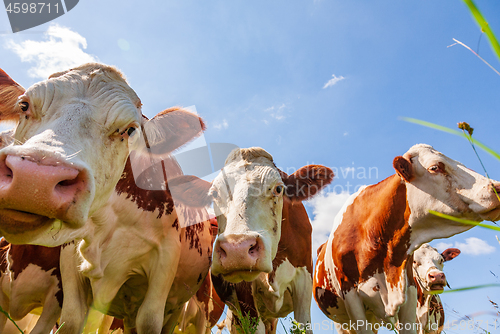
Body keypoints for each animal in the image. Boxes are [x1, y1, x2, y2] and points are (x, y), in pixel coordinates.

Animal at [0, 63, 213, 334]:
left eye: (130, 130)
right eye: (24, 105)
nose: (34, 180)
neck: (109, 222)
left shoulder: (166, 256)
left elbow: (149, 320)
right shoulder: (69, 258)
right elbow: (72, 319)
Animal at [314, 145, 500, 334]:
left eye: (441, 260)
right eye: (435, 167)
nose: (497, 188)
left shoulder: (409, 292)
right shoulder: (351, 298)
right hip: (342, 321)